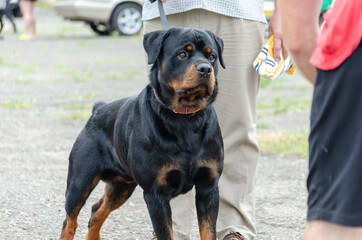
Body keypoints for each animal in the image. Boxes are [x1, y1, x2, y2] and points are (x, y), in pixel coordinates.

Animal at [60, 27, 225, 239]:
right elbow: (165, 233)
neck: (185, 119)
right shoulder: (155, 194)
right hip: (80, 182)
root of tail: (98, 110)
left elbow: (209, 231)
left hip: (122, 186)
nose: (205, 69)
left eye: (212, 56)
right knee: (70, 220)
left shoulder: (208, 187)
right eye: (182, 54)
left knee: (96, 211)